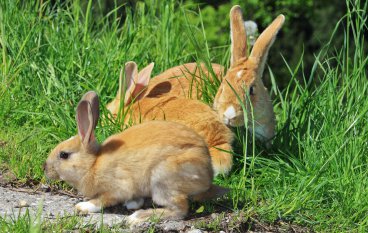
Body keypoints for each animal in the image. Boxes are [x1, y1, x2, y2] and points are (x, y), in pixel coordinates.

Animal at [43, 90, 227, 224]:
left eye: (64, 155)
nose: (45, 168)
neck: (93, 164)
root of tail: (207, 176)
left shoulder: (118, 187)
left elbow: (102, 200)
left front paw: (83, 206)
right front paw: (132, 203)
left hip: (163, 179)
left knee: (179, 209)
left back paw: (139, 217)